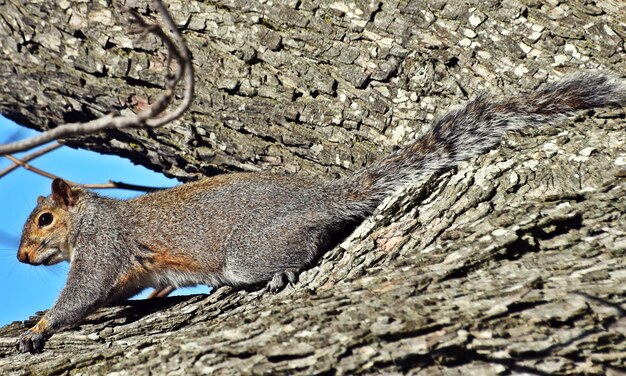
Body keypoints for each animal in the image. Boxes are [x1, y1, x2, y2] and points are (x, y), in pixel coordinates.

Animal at [14, 71, 624, 352]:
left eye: (44, 220)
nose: (20, 258)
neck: (88, 219)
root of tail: (323, 197)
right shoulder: (126, 270)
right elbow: (112, 296)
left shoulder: (104, 247)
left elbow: (82, 294)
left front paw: (40, 327)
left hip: (249, 250)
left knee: (301, 246)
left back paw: (284, 269)